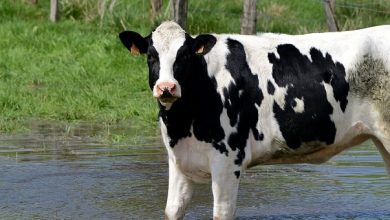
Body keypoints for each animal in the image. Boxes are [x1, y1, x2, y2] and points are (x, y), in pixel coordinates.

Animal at [119, 21, 390, 220]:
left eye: (184, 55)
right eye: (151, 56)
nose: (167, 88)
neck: (183, 122)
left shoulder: (228, 160)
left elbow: (222, 213)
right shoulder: (179, 161)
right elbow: (172, 211)